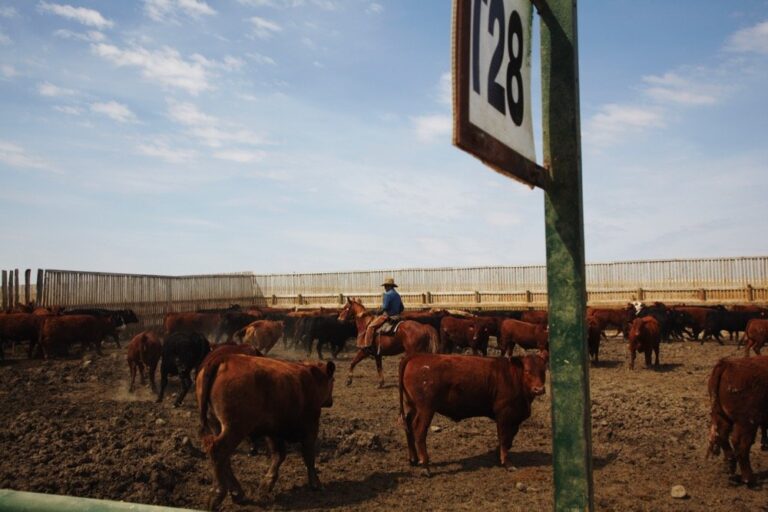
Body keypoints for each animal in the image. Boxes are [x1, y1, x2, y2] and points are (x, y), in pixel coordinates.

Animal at [196, 354, 335, 509]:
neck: (311, 377)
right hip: (235, 429)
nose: (330, 401)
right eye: (333, 380)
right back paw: (217, 494)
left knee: (223, 459)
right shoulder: (310, 428)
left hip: (218, 426)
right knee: (218, 451)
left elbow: (279, 455)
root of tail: (224, 359)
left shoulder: (273, 432)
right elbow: (308, 456)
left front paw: (266, 484)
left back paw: (237, 493)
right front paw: (316, 484)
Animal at [398, 352, 547, 476]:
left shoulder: (515, 419)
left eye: (543, 371)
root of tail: (416, 356)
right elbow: (504, 438)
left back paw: (413, 459)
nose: (539, 389)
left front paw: (497, 455)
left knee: (408, 425)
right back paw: (425, 466)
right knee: (419, 431)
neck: (513, 377)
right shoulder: (504, 415)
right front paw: (507, 463)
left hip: (412, 405)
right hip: (426, 409)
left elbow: (509, 439)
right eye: (527, 371)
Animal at [707, 356, 768, 487]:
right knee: (741, 445)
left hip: (722, 416)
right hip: (746, 423)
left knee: (722, 436)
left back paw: (730, 466)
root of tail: (727, 364)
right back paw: (748, 478)